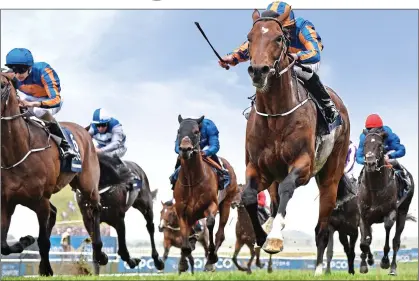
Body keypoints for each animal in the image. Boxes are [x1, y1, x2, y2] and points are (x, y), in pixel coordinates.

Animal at [0, 71, 123, 274]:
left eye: (3, 85)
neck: (18, 151)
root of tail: (84, 130)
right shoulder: (7, 201)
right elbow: (3, 245)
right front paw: (26, 241)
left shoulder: (41, 200)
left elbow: (43, 241)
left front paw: (46, 269)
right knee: (56, 211)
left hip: (88, 184)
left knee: (95, 209)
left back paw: (99, 253)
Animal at [174, 114, 240, 274]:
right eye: (179, 131)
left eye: (196, 131)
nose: (185, 149)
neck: (192, 180)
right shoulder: (182, 211)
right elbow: (184, 234)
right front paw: (182, 263)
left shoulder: (212, 205)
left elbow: (210, 223)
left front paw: (211, 258)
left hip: (226, 204)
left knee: (220, 234)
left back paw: (210, 261)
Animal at [240, 9, 352, 274]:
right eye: (249, 38)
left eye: (279, 38)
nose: (258, 71)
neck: (274, 115)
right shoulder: (258, 168)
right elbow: (248, 196)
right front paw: (262, 235)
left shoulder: (303, 165)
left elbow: (287, 187)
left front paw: (274, 239)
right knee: (274, 201)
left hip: (329, 180)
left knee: (322, 229)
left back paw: (319, 269)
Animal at [358, 128, 416, 274]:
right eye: (364, 144)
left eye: (380, 145)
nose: (370, 163)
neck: (375, 188)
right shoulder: (364, 216)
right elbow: (365, 242)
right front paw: (365, 263)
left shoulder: (390, 213)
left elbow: (388, 230)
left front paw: (384, 261)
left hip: (403, 211)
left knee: (396, 241)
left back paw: (393, 268)